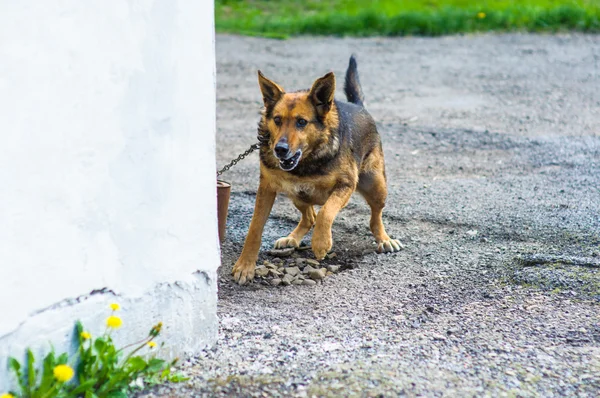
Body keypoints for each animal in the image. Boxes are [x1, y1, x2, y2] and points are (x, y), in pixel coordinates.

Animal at [232, 56, 400, 286]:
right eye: (277, 120)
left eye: (302, 122)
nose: (280, 149)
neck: (307, 161)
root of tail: (358, 106)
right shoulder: (266, 188)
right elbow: (255, 228)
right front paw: (245, 266)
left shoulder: (346, 185)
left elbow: (326, 213)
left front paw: (321, 243)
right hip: (296, 194)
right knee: (309, 216)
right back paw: (292, 238)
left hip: (376, 187)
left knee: (375, 217)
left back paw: (384, 239)